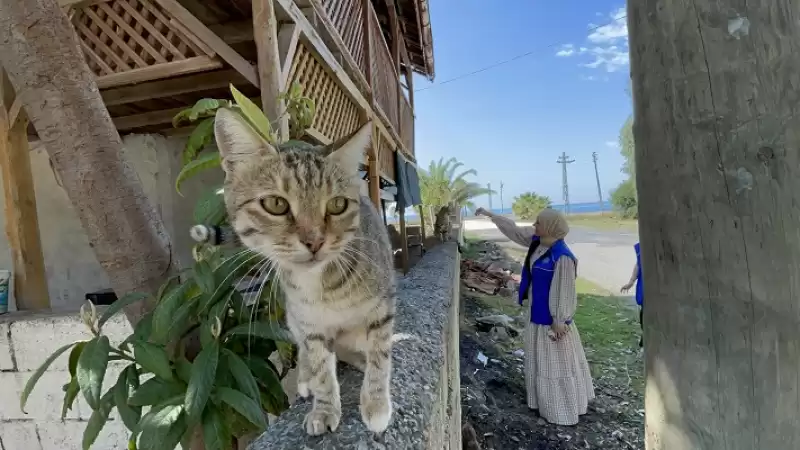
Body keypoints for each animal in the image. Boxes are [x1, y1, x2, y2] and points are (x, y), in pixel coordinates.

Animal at [214, 109, 398, 436]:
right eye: (275, 204)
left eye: (337, 204)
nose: (314, 241)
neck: (320, 283)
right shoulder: (310, 323)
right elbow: (321, 367)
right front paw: (324, 409)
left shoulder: (382, 308)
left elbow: (380, 356)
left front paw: (376, 404)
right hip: (293, 317)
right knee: (305, 349)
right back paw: (305, 378)